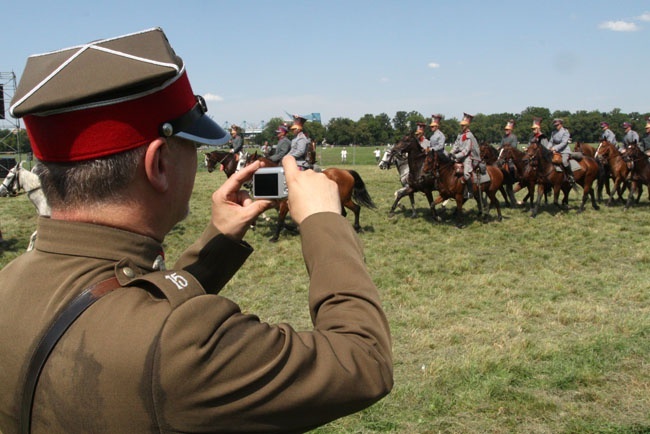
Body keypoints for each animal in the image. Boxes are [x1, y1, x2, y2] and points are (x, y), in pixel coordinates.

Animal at [244, 153, 378, 242]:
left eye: (251, 167)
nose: (246, 184)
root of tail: (345, 171)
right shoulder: (278, 205)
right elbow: (282, 221)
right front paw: (293, 228)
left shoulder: (284, 205)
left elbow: (280, 220)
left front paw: (275, 237)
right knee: (344, 212)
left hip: (345, 199)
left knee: (356, 209)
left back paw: (357, 227)